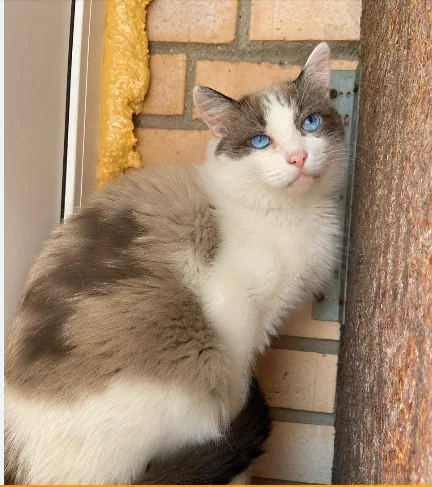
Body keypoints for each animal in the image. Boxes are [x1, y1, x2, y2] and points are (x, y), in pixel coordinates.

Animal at [5, 41, 346, 484]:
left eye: (310, 123)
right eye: (260, 141)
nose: (297, 158)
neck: (290, 212)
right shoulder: (235, 317)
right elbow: (236, 390)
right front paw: (237, 457)